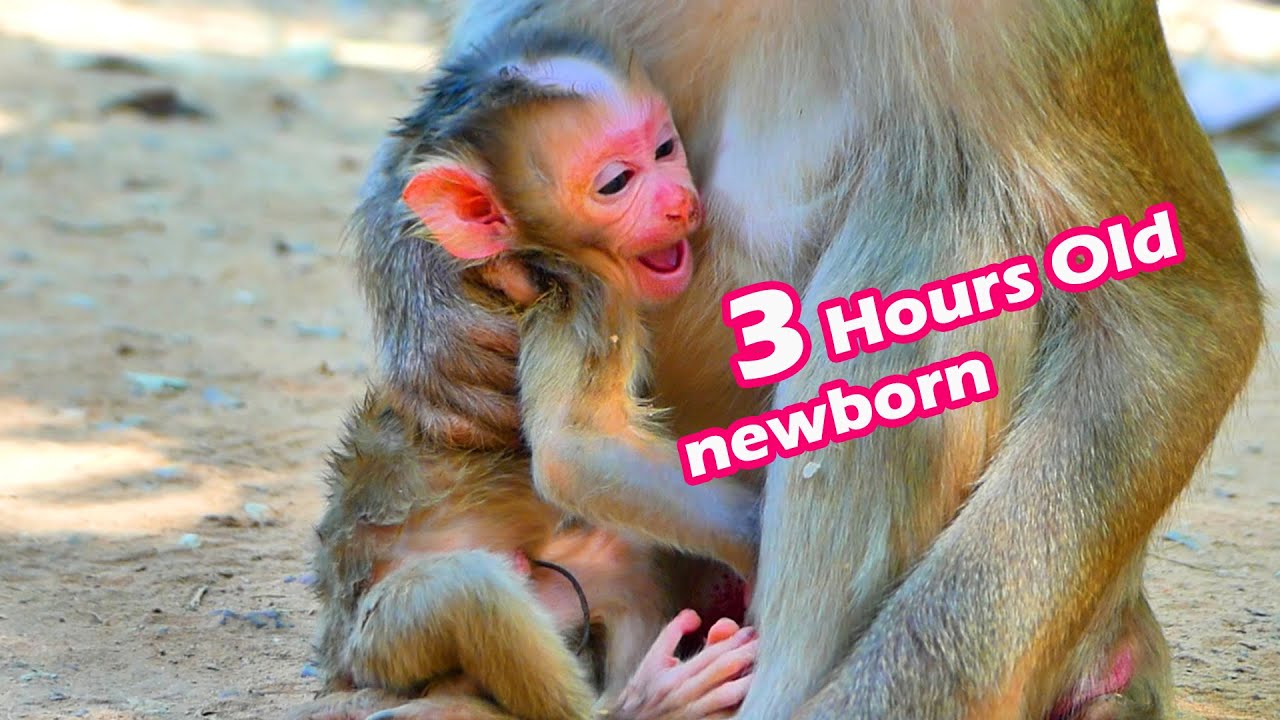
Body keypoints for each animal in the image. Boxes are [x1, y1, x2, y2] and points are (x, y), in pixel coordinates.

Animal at [340, 1, 1265, 719]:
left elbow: (1180, 313)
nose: (672, 203)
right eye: (613, 181)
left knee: (939, 204)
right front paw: (433, 313)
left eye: (662, 154)